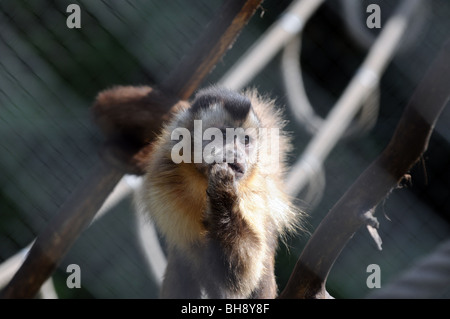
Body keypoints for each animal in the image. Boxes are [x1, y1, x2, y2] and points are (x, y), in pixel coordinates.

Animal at [134, 86, 302, 298]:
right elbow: (191, 255)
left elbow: (242, 277)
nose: (236, 154)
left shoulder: (253, 192)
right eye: (220, 135)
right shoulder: (165, 183)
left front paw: (223, 196)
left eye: (245, 140)